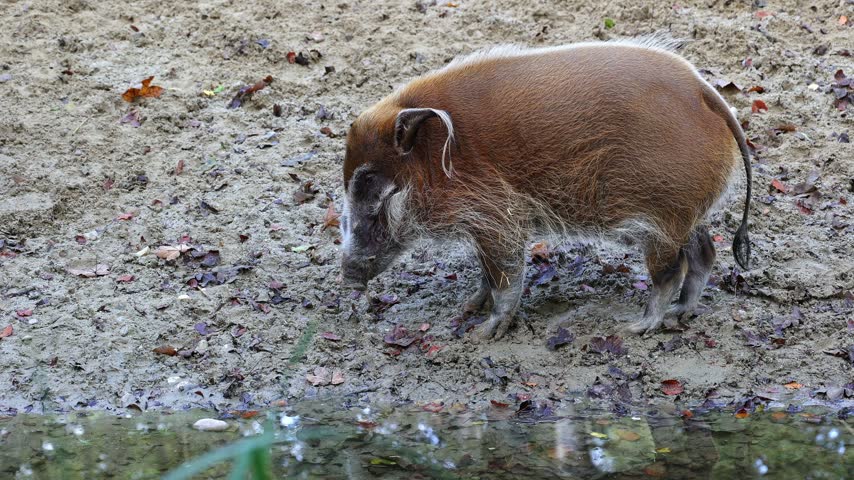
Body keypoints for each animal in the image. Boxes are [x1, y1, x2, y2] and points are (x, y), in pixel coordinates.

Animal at [340, 36, 752, 341]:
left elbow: (504, 274)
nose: (348, 277)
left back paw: (638, 326)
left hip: (663, 217)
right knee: (705, 253)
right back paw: (679, 315)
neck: (435, 154)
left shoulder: (497, 218)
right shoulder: (483, 224)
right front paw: (469, 308)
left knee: (672, 270)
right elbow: (486, 271)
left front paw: (483, 333)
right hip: (688, 212)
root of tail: (706, 92)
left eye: (370, 182)